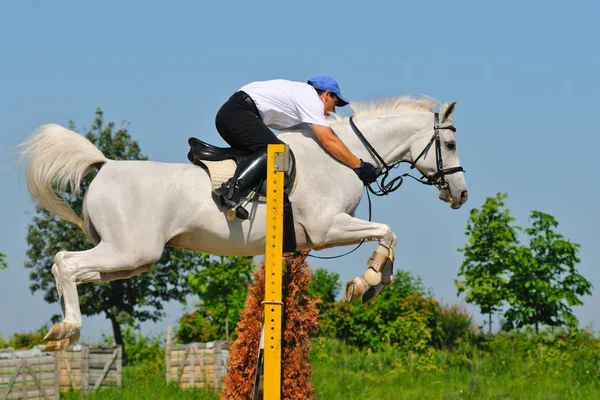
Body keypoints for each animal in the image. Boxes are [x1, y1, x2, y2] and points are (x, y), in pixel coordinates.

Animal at [17, 96, 468, 350]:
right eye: (449, 143)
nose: (461, 195)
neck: (343, 155)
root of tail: (105, 165)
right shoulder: (328, 229)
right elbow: (388, 232)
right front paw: (367, 280)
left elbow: (389, 239)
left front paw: (372, 284)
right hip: (131, 250)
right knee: (65, 262)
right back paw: (67, 329)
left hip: (129, 260)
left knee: (69, 268)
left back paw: (61, 332)